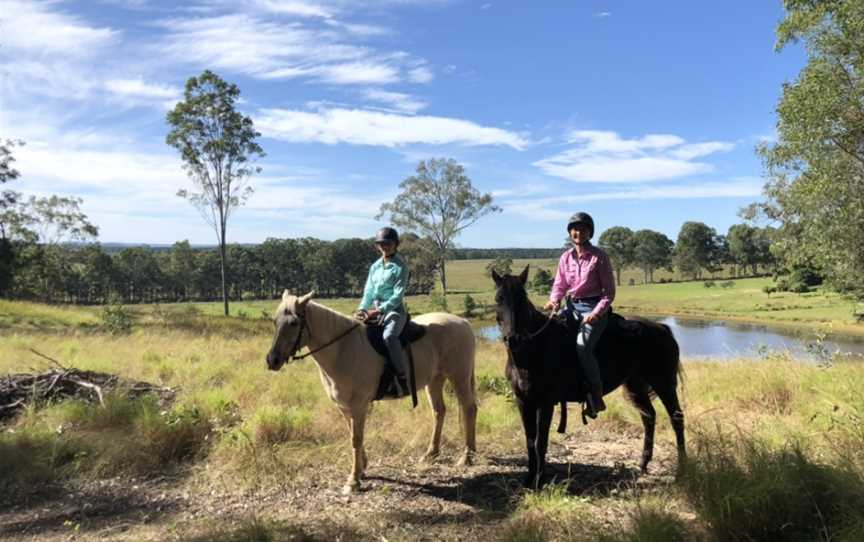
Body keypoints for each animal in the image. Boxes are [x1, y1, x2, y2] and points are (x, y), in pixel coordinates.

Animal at [264, 294, 480, 498]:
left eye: (294, 323)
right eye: (275, 321)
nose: (272, 360)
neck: (343, 349)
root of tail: (463, 322)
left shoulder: (359, 405)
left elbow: (356, 439)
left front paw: (353, 481)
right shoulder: (344, 406)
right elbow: (353, 435)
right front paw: (362, 469)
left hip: (459, 377)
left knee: (468, 408)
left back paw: (467, 457)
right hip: (435, 380)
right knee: (439, 412)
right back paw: (431, 454)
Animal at [496, 266, 684, 488]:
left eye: (522, 299)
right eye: (499, 299)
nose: (513, 339)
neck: (533, 350)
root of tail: (662, 328)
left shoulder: (545, 402)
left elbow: (540, 441)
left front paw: (540, 480)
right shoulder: (523, 401)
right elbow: (529, 439)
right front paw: (529, 479)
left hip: (663, 383)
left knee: (676, 418)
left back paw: (682, 469)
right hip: (635, 385)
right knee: (649, 416)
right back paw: (643, 463)